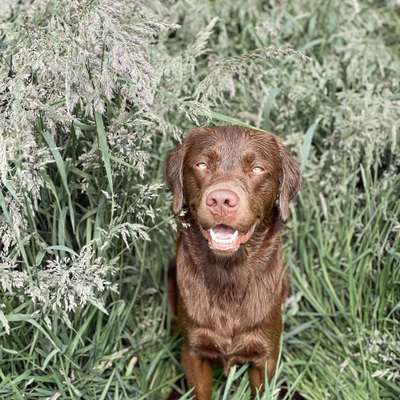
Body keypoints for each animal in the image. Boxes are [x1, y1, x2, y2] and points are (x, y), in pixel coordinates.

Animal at [165, 126, 300, 400]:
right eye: (201, 164)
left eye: (257, 169)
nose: (221, 200)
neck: (229, 275)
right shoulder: (194, 352)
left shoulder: (265, 357)